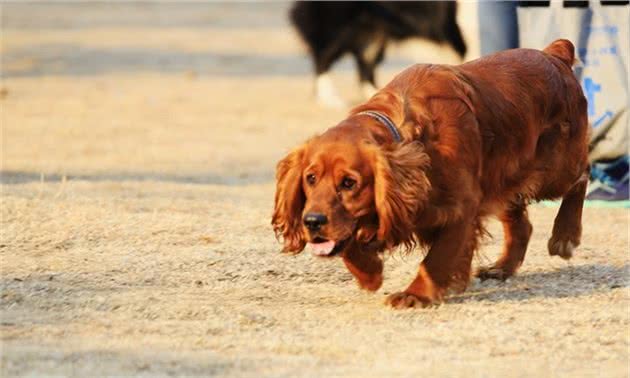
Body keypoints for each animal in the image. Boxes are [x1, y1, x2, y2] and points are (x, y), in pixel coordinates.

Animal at [272, 39, 592, 308]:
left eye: (349, 183)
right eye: (310, 178)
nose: (312, 222)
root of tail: (555, 54)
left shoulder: (462, 207)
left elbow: (437, 258)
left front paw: (415, 295)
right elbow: (350, 245)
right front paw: (370, 273)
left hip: (553, 171)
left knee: (582, 176)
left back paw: (564, 235)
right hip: (506, 178)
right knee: (522, 224)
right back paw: (502, 266)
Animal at [292, 1, 470, 108]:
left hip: (374, 32)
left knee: (364, 64)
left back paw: (377, 95)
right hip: (340, 26)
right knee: (323, 56)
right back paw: (330, 98)